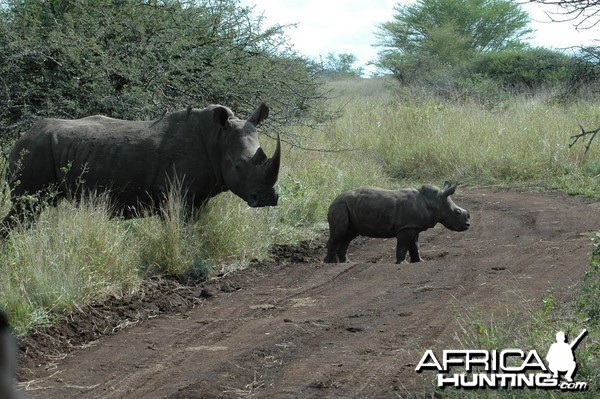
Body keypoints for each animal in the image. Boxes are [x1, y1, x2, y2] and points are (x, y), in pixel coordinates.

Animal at [1, 102, 282, 231]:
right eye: (238, 167)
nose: (267, 199)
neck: (217, 139)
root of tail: (19, 139)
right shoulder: (174, 195)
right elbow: (180, 229)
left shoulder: (197, 197)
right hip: (33, 150)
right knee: (27, 209)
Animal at [326, 182, 472, 266]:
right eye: (457, 212)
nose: (468, 225)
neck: (435, 201)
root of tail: (334, 199)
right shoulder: (406, 227)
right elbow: (403, 245)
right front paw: (402, 263)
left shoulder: (413, 226)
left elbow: (415, 245)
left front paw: (419, 261)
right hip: (340, 206)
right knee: (340, 233)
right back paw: (331, 263)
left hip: (348, 206)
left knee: (348, 235)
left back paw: (345, 262)